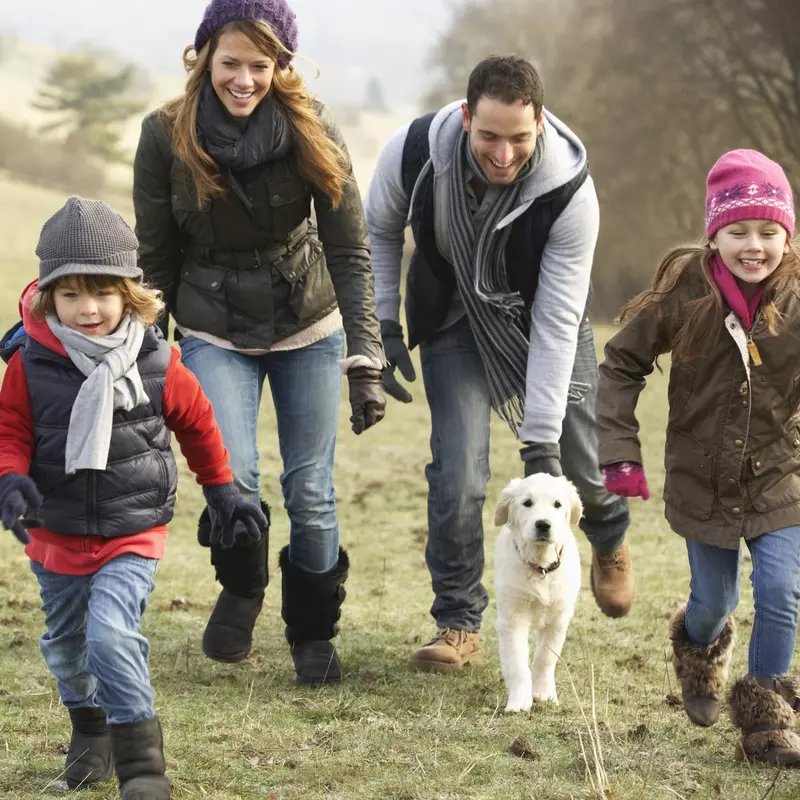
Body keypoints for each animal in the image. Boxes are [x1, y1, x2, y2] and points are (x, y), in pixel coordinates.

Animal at [494, 472, 580, 708]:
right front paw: (519, 702)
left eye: (557, 504)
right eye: (527, 503)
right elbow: (517, 665)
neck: (541, 567)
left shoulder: (558, 620)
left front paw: (543, 693)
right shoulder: (512, 620)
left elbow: (544, 659)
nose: (543, 525)